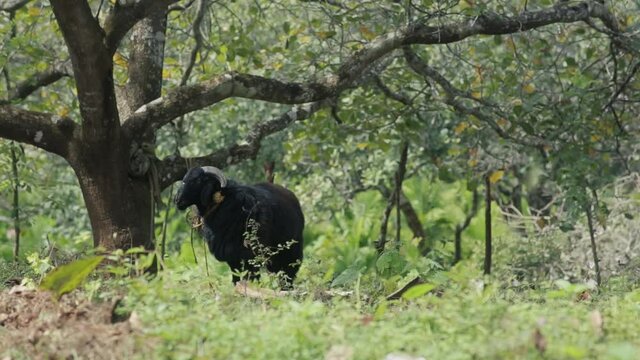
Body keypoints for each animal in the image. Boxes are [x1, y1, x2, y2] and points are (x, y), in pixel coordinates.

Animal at [175, 166, 304, 286]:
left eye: (197, 180)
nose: (177, 200)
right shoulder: (232, 258)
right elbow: (236, 279)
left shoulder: (250, 255)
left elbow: (252, 278)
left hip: (291, 250)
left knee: (289, 272)